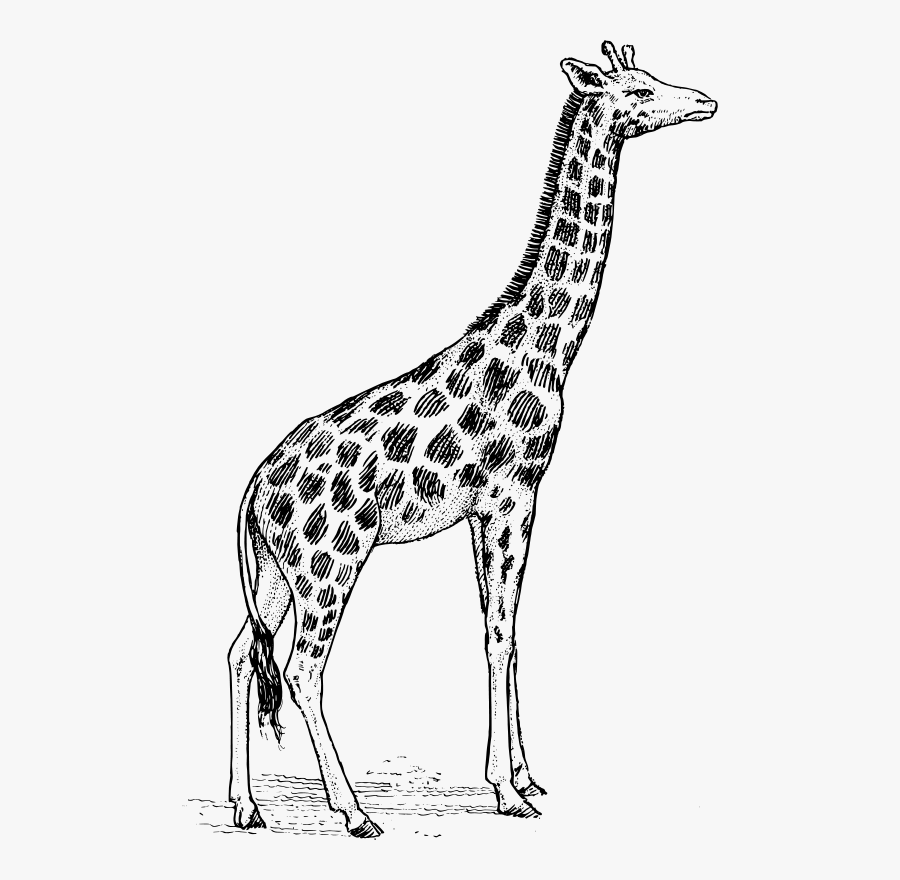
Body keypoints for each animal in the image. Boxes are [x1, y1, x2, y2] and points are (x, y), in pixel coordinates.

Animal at [227, 42, 716, 837]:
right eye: (641, 91)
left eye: (656, 77)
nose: (706, 101)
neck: (549, 349)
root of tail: (250, 499)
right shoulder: (511, 498)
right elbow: (498, 635)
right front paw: (507, 792)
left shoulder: (496, 508)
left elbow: (508, 633)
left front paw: (526, 776)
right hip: (330, 566)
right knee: (302, 669)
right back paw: (353, 812)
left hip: (275, 573)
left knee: (245, 653)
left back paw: (246, 805)